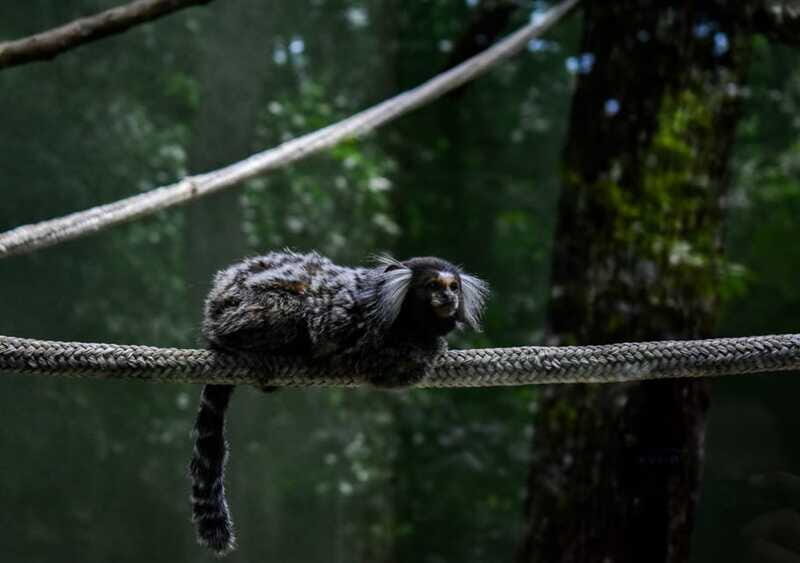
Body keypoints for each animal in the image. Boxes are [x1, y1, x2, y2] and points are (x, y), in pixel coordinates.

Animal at [189, 250, 488, 555]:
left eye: (453, 287)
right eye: (433, 286)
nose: (448, 297)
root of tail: (212, 320)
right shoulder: (360, 334)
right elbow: (389, 368)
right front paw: (434, 347)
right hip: (248, 312)